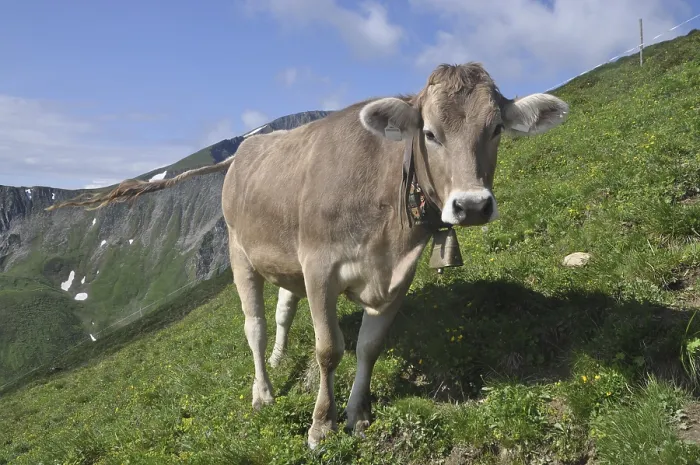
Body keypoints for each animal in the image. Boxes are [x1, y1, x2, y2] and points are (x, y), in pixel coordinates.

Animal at [47, 62, 569, 449]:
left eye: (496, 128)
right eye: (430, 133)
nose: (472, 205)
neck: (386, 232)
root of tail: (244, 149)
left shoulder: (397, 279)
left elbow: (369, 348)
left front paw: (357, 415)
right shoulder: (320, 268)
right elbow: (328, 348)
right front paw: (321, 426)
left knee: (281, 312)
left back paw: (280, 359)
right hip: (241, 253)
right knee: (254, 326)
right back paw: (263, 391)